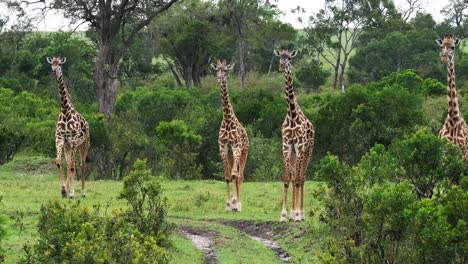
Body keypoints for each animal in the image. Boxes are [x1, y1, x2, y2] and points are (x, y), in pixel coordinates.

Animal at [47, 56, 90, 198]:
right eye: (51, 64)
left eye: (60, 64)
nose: (54, 71)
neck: (65, 111)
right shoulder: (60, 139)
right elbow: (59, 162)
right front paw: (63, 190)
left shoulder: (73, 140)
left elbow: (71, 166)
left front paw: (70, 192)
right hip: (69, 146)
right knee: (72, 164)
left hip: (84, 145)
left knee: (81, 165)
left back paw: (82, 192)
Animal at [211, 58, 250, 211]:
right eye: (217, 69)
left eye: (226, 70)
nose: (219, 78)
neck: (227, 120)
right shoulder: (223, 148)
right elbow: (227, 176)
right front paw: (228, 205)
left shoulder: (237, 147)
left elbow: (234, 175)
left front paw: (235, 203)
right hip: (231, 155)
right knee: (235, 174)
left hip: (243, 153)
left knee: (240, 176)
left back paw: (239, 204)